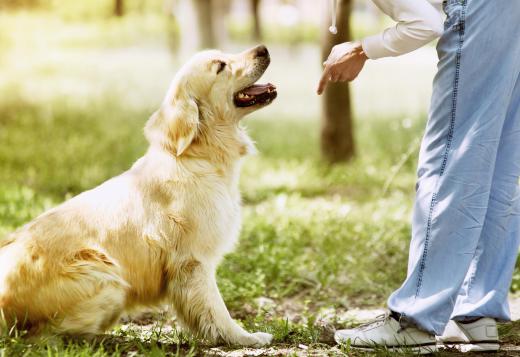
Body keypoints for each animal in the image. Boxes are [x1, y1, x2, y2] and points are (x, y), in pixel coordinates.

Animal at [0, 44, 276, 344]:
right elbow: (217, 310)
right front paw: (244, 338)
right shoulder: (193, 262)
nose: (263, 48)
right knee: (45, 336)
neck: (198, 156)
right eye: (220, 66)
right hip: (106, 276)